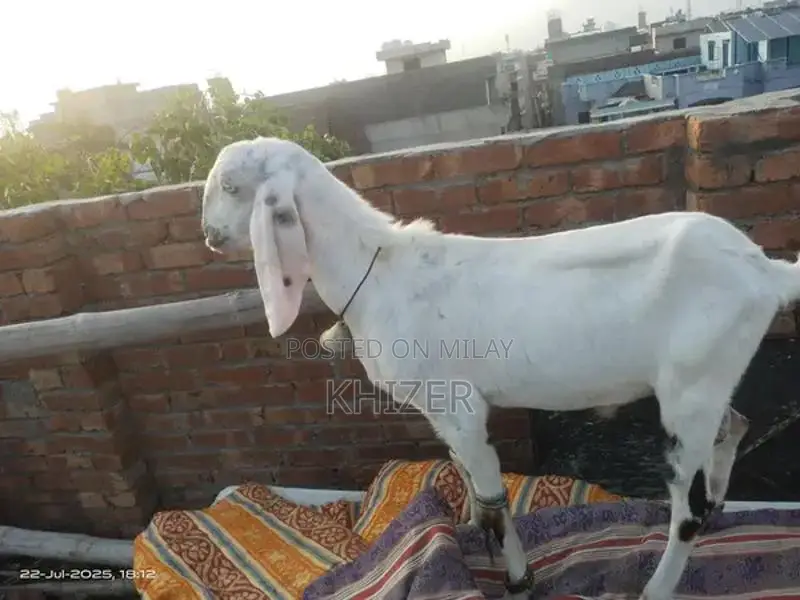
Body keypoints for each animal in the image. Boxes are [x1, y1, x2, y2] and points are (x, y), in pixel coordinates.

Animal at [201, 136, 795, 600]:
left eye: (230, 186)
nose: (208, 235)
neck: (378, 270)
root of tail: (764, 269)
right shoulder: (441, 411)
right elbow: (465, 482)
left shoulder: (461, 407)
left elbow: (492, 502)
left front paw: (516, 581)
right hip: (709, 378)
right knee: (733, 427)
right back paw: (718, 505)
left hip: (688, 390)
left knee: (685, 507)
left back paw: (656, 585)